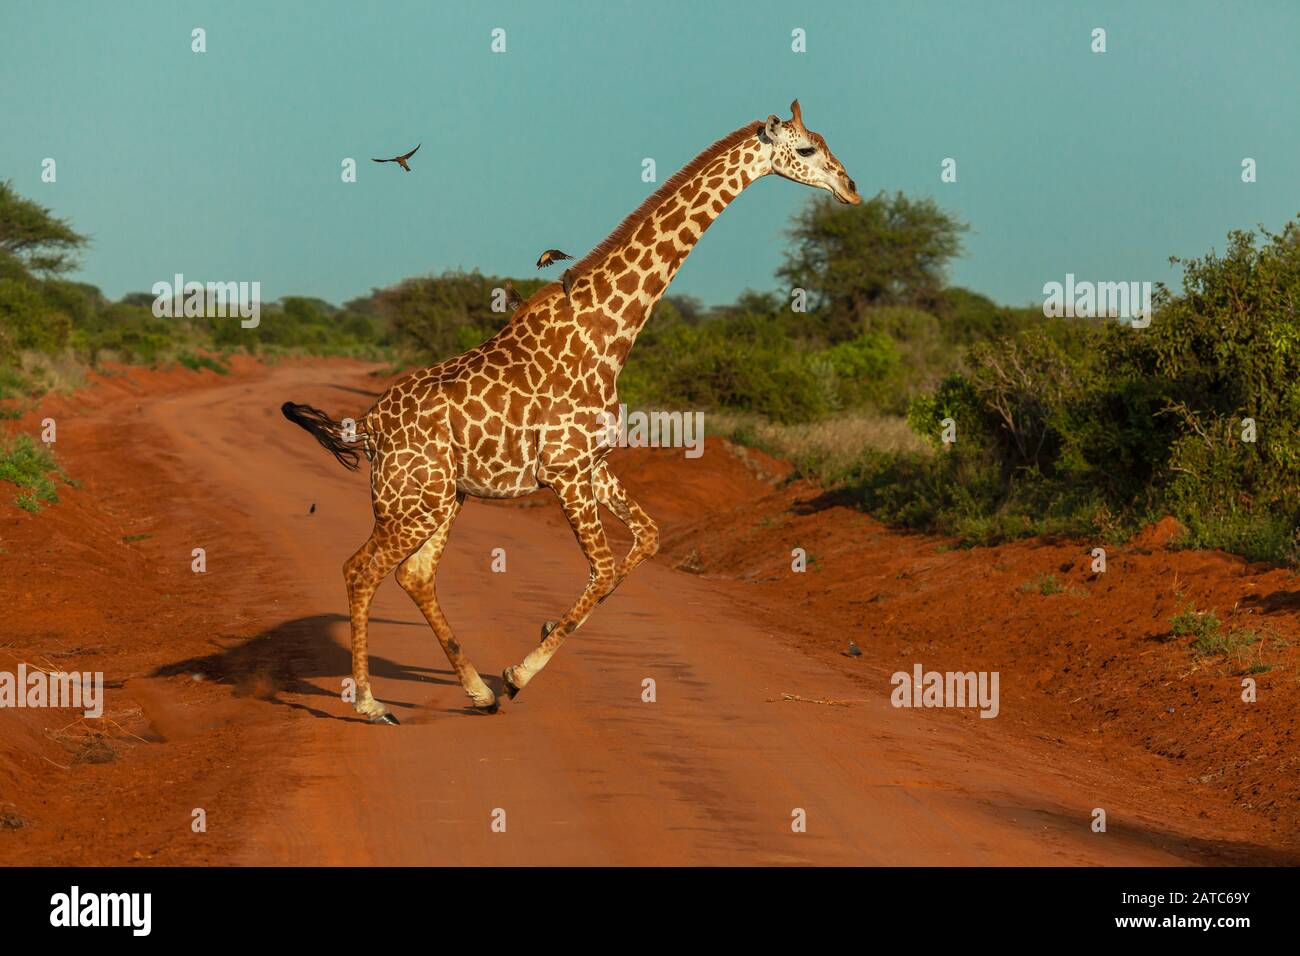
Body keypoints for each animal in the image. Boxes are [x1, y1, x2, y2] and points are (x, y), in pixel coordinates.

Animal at [279, 98, 857, 723]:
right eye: (806, 149)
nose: (850, 188)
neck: (607, 329)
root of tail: (369, 427)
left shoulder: (592, 466)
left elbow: (646, 541)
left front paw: (536, 638)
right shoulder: (566, 472)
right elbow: (603, 568)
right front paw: (518, 673)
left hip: (443, 497)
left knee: (414, 574)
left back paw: (477, 692)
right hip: (410, 500)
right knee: (360, 571)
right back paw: (372, 703)